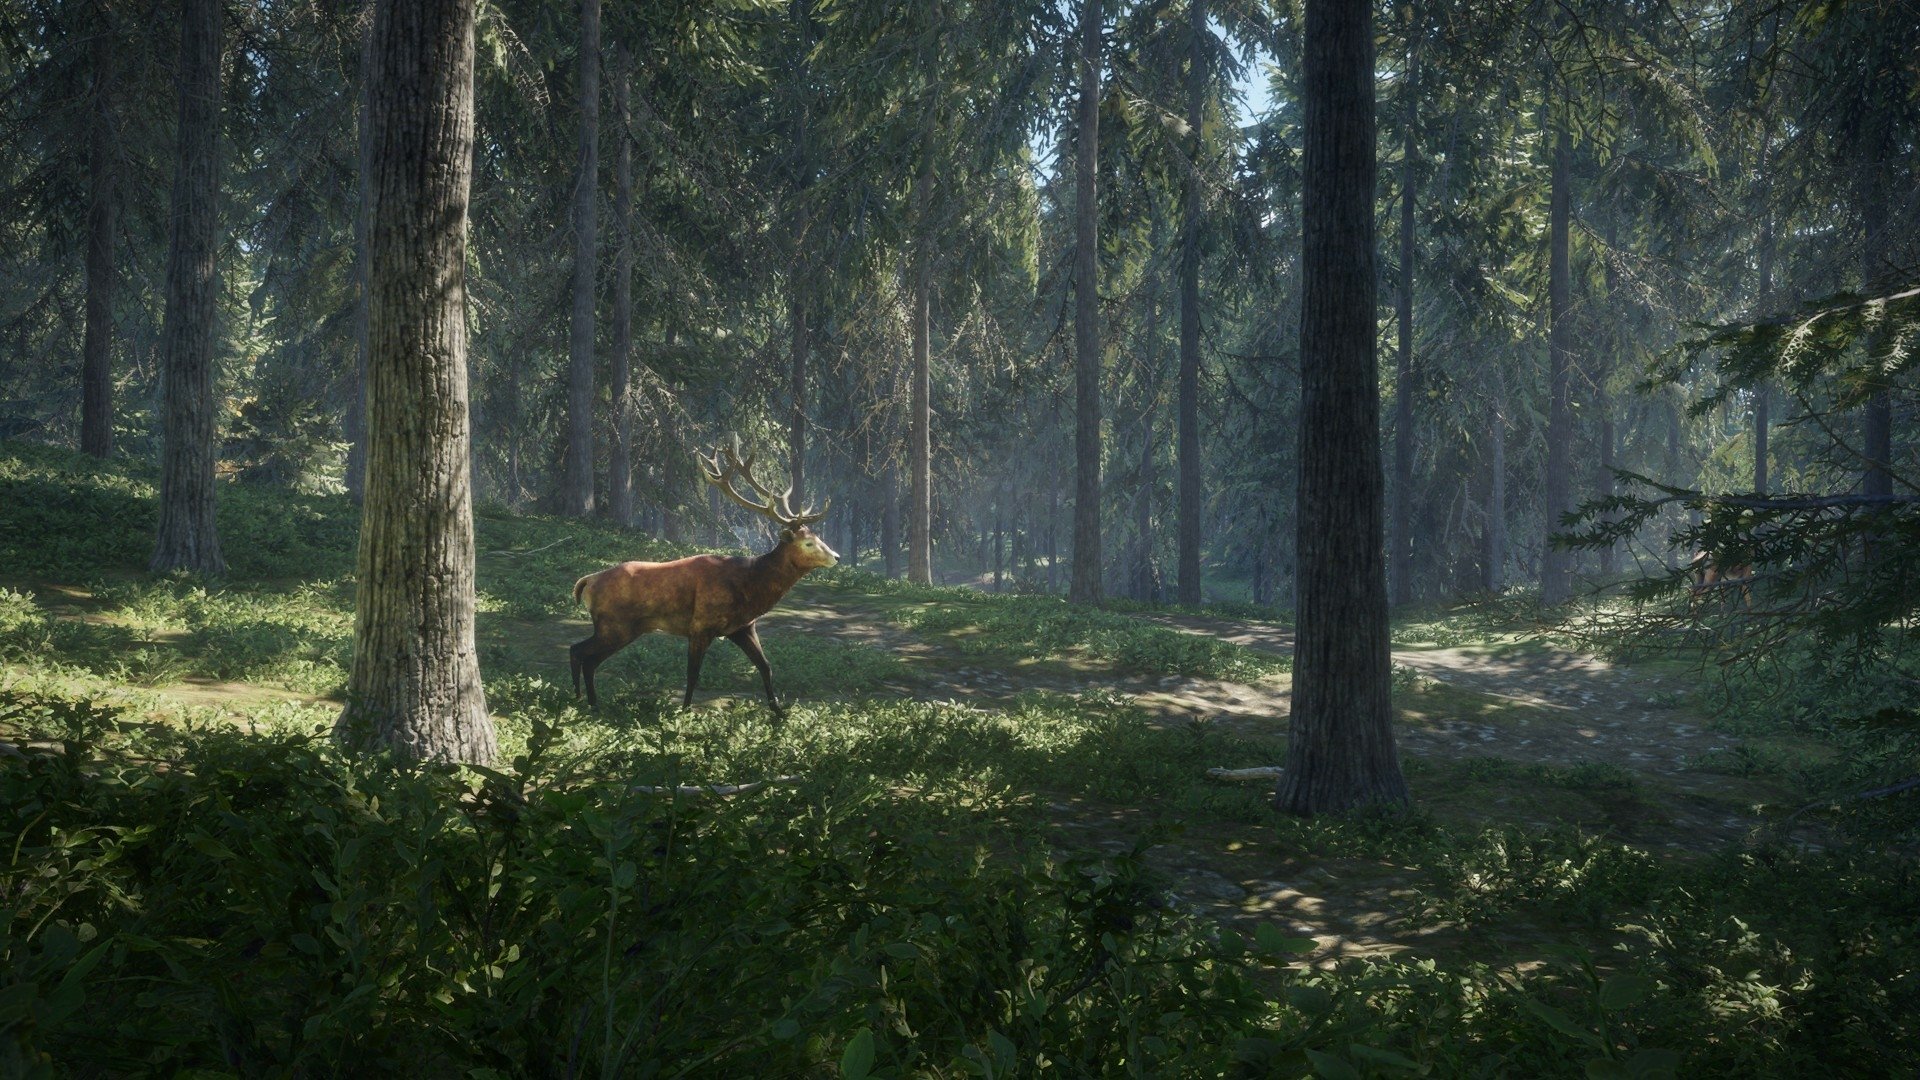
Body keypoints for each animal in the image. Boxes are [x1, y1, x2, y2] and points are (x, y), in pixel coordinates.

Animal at [569, 439, 838, 716]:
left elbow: (766, 666)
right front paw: (685, 713)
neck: (749, 588)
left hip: (620, 627)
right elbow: (692, 674)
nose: (837, 557)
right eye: (808, 543)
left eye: (818, 537)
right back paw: (585, 702)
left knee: (582, 654)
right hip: (615, 625)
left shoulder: (743, 628)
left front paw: (779, 714)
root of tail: (587, 582)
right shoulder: (700, 626)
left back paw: (586, 702)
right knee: (580, 652)